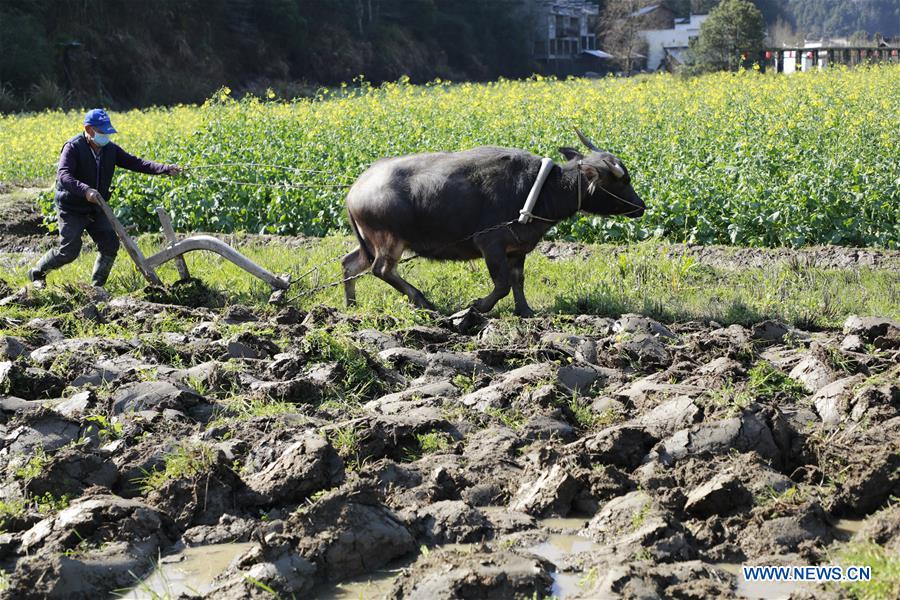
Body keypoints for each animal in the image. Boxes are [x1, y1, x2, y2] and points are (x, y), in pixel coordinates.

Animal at [342, 127, 644, 318]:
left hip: (371, 243)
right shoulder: (490, 244)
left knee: (350, 264)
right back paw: (423, 301)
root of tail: (355, 189)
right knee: (381, 270)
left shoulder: (518, 248)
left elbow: (518, 280)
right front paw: (478, 306)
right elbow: (502, 284)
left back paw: (351, 306)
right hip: (388, 240)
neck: (542, 189)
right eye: (622, 180)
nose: (641, 206)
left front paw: (525, 311)